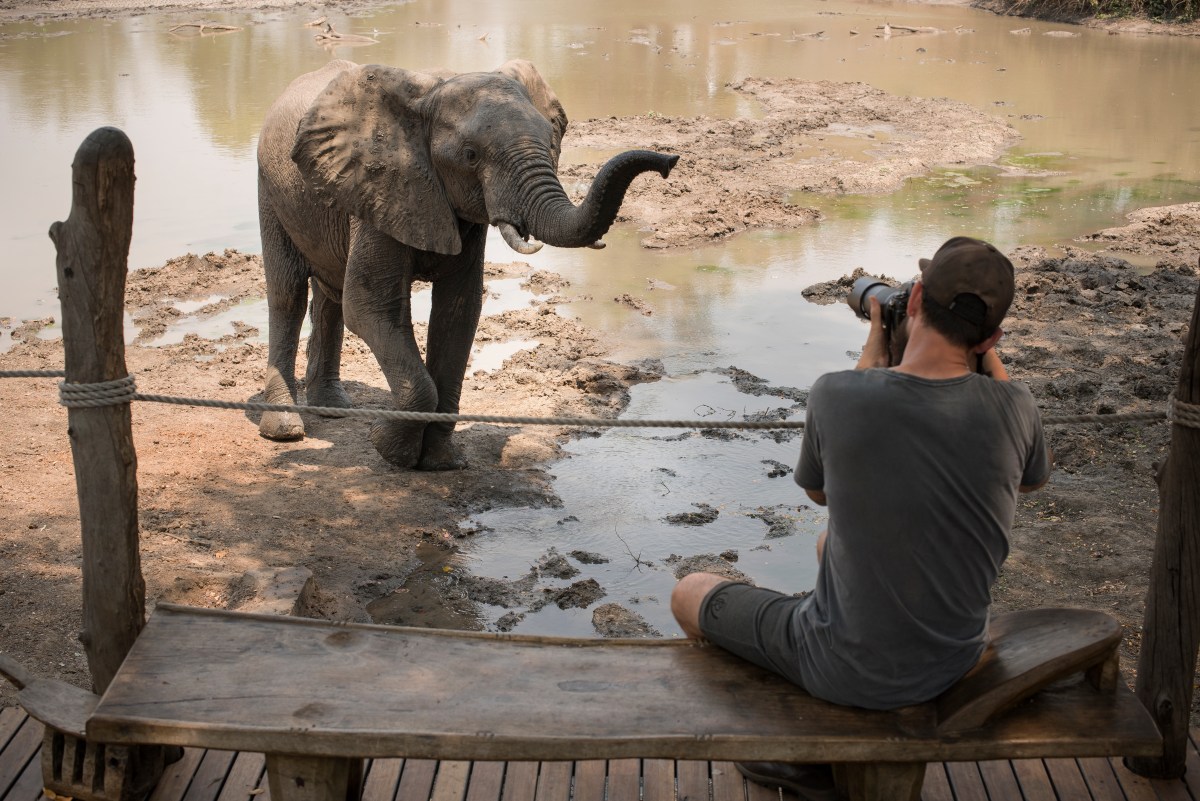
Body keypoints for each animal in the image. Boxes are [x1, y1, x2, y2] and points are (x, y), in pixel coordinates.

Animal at [255, 59, 678, 469]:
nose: (669, 161)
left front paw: (442, 462)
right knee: (288, 295)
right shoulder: (382, 189)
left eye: (551, 142)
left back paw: (334, 410)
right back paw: (284, 429)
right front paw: (389, 448)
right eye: (471, 156)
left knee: (330, 296)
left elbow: (458, 313)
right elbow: (370, 307)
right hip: (269, 185)